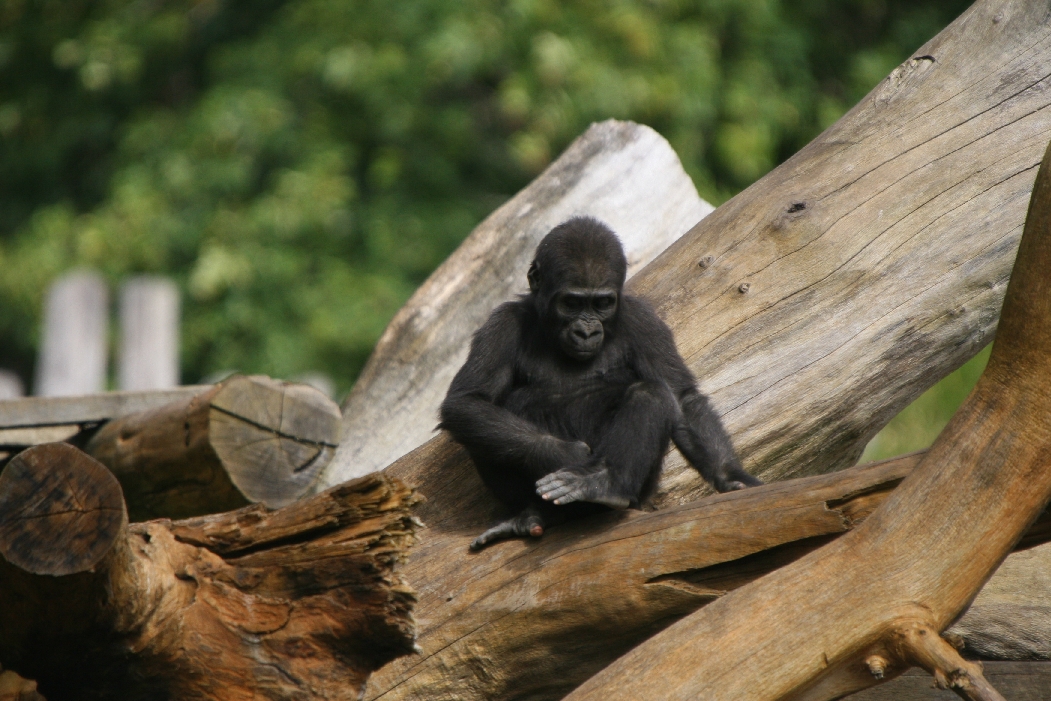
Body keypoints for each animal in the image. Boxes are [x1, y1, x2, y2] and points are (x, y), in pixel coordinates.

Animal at [440, 216, 760, 550]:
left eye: (602, 303)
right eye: (571, 302)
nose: (586, 331)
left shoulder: (643, 320)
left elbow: (681, 397)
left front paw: (730, 476)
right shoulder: (501, 324)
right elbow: (468, 401)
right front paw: (564, 453)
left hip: (639, 495)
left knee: (651, 393)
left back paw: (606, 485)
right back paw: (535, 514)